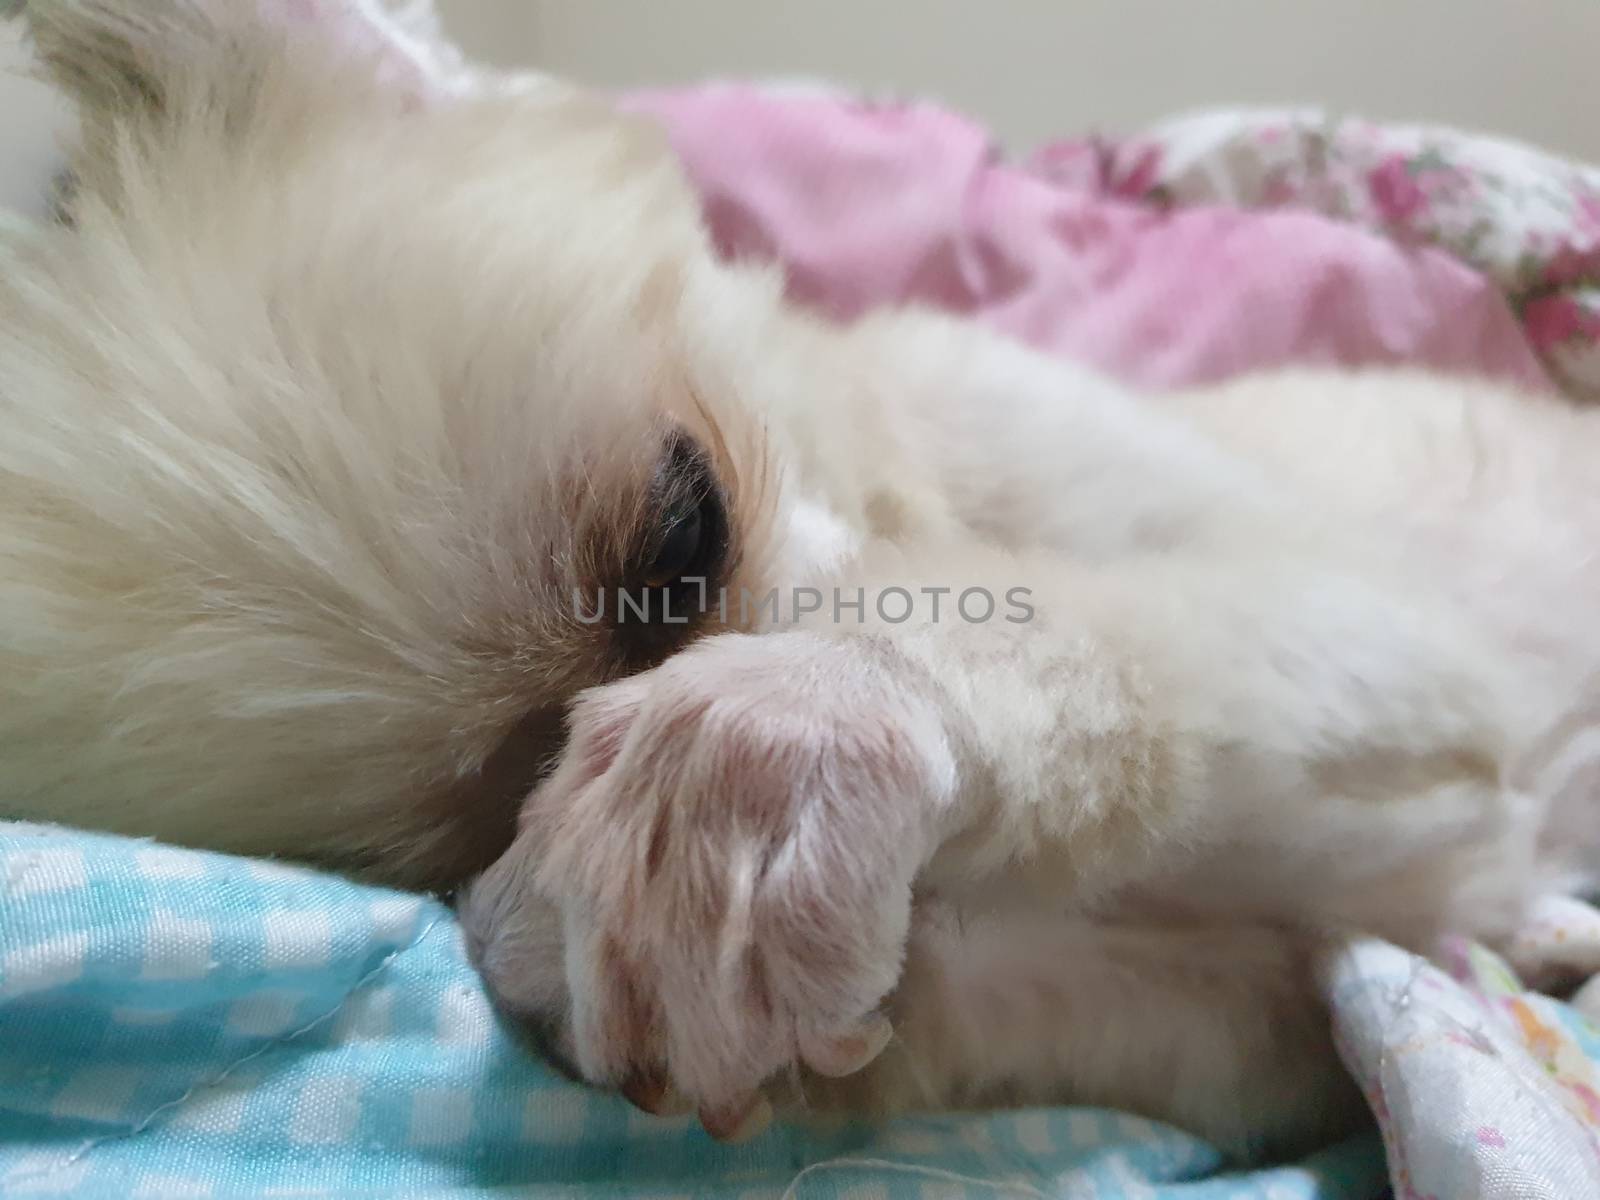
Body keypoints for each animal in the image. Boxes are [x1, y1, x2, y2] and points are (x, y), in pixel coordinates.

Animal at [3, 0, 1600, 1164]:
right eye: (498, 793)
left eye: (683, 541)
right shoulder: (1267, 1021)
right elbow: (990, 1004)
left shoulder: (1391, 645)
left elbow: (1061, 631)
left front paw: (769, 738)